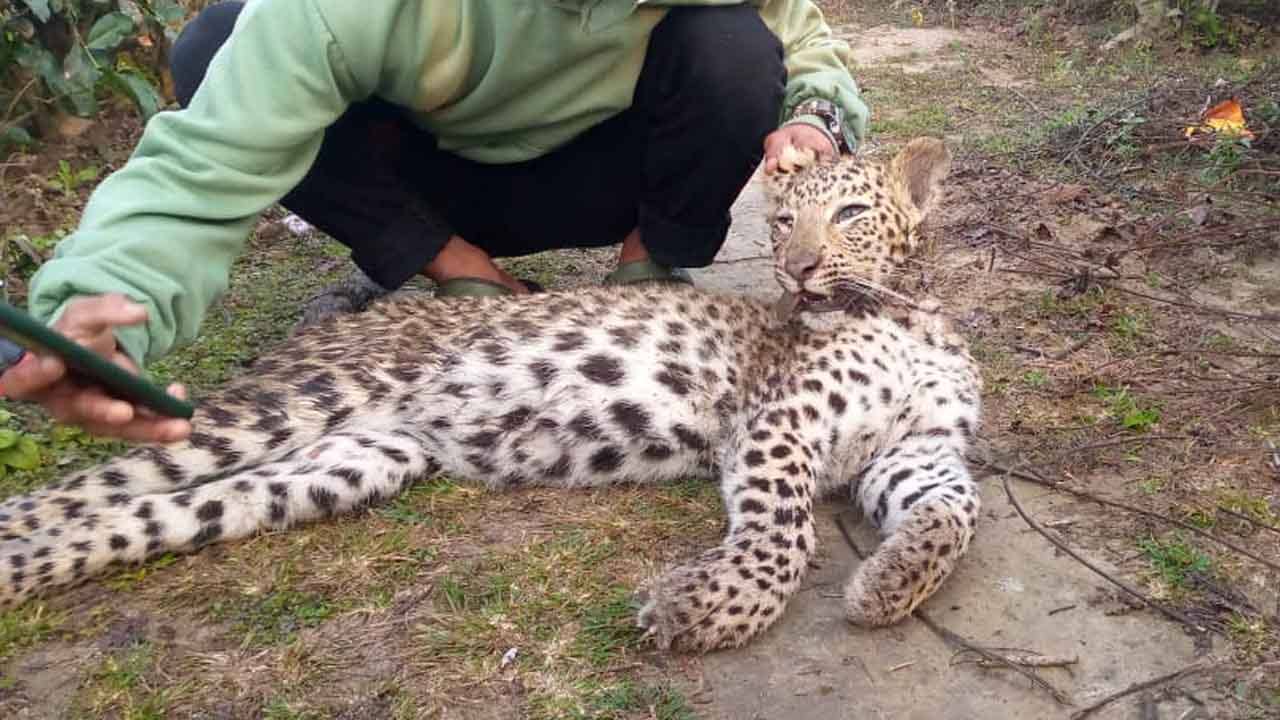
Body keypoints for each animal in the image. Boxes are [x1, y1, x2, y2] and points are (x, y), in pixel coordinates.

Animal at [0, 137, 981, 653]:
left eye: (849, 216)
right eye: (780, 223)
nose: (798, 266)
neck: (906, 314)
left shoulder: (921, 450)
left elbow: (956, 512)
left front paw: (891, 582)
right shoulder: (781, 421)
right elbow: (783, 532)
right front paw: (703, 606)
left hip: (347, 463)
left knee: (135, 515)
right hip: (290, 406)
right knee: (64, 493)